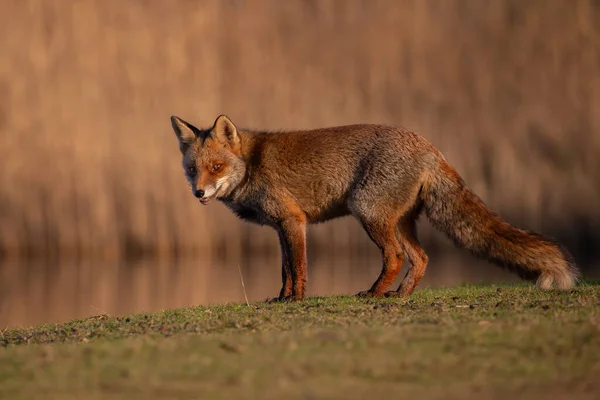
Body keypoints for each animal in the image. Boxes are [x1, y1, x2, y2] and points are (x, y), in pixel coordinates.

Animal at [170, 113, 580, 300]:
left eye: (216, 167)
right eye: (192, 170)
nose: (199, 193)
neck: (252, 165)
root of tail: (431, 148)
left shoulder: (293, 220)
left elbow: (298, 268)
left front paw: (296, 300)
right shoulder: (280, 228)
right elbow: (285, 269)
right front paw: (281, 298)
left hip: (367, 212)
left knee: (396, 256)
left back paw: (374, 293)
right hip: (398, 221)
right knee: (421, 257)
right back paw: (400, 295)